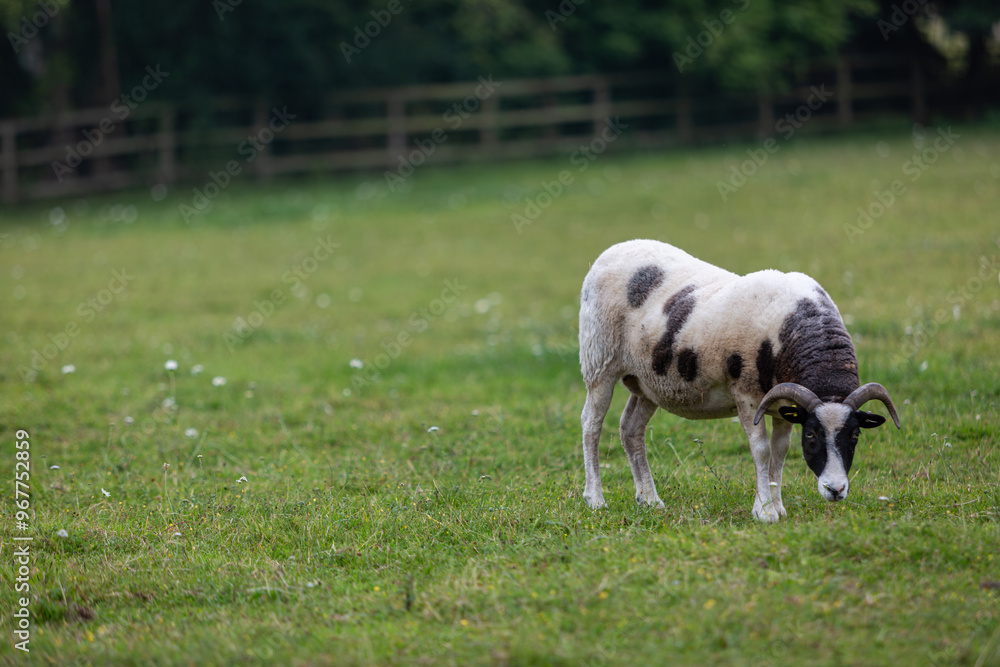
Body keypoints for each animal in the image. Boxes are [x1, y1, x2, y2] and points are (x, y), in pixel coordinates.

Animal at [578, 239, 900, 522]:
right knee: (591, 424)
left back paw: (649, 499)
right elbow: (761, 450)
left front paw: (778, 506)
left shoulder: (783, 404)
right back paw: (595, 499)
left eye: (855, 434)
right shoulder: (747, 396)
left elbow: (780, 451)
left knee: (631, 429)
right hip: (599, 362)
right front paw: (765, 512)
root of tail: (612, 250)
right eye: (811, 435)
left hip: (648, 383)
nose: (836, 490)